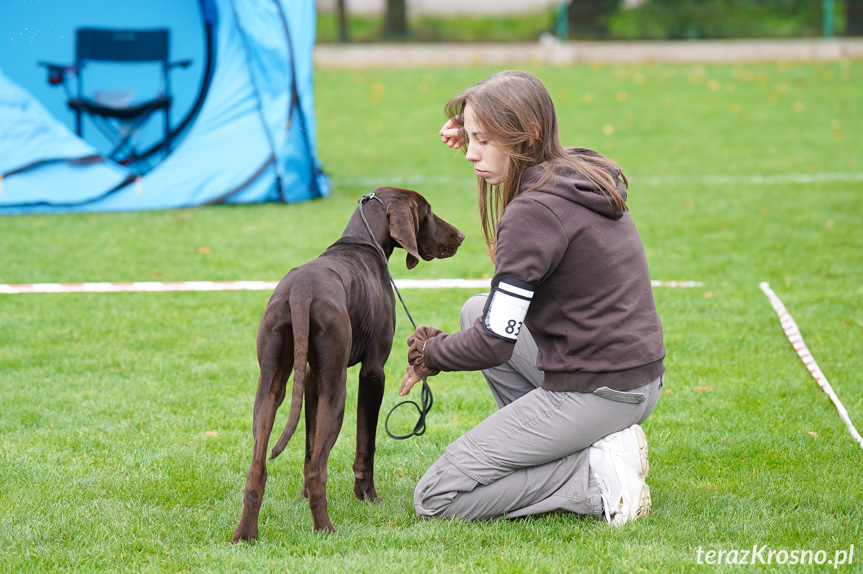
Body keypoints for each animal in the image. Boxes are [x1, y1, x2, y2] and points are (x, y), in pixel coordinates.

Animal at [233, 187, 466, 544]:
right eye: (428, 212)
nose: (461, 236)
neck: (361, 241)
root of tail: (300, 291)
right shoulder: (372, 372)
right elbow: (365, 443)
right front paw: (368, 495)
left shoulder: (310, 378)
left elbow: (308, 446)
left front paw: (302, 497)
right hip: (336, 391)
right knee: (318, 469)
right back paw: (326, 531)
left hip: (271, 388)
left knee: (259, 466)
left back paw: (245, 536)